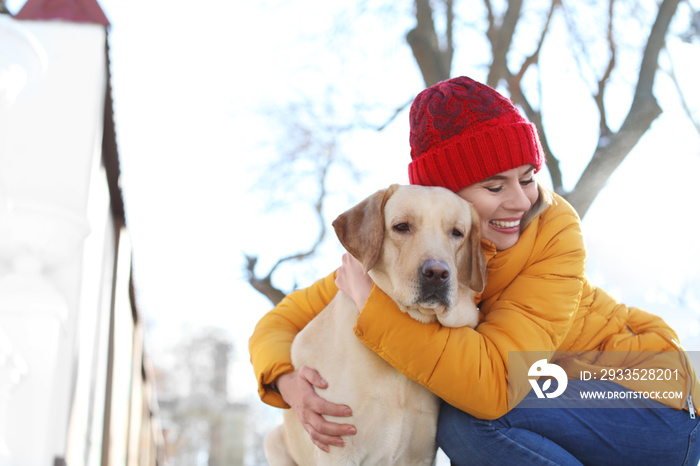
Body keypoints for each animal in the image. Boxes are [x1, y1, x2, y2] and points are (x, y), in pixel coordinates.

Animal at [264, 184, 486, 464]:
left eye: (457, 233)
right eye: (401, 227)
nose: (437, 274)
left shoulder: (421, 453)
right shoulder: (338, 448)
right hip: (272, 439)